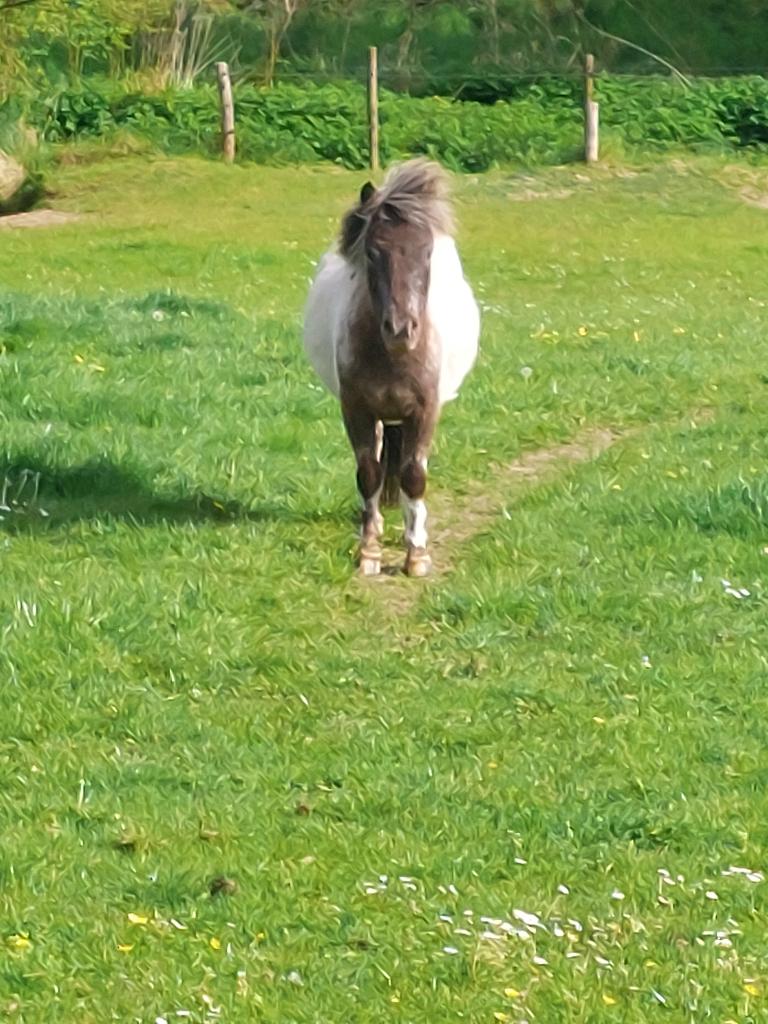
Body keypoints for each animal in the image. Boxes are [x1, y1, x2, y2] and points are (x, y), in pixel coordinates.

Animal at [303, 159, 479, 577]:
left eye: (426, 253)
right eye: (372, 252)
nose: (400, 329)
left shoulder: (424, 411)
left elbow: (414, 477)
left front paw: (416, 554)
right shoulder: (356, 409)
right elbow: (369, 473)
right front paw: (369, 550)